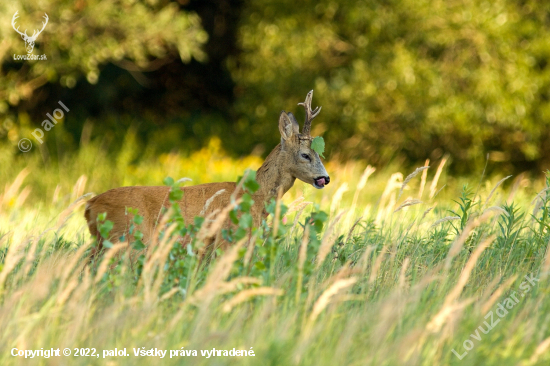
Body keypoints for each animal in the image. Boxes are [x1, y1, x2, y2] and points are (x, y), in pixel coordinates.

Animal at [84, 91, 330, 252]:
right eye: (305, 155)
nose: (325, 178)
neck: (255, 197)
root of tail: (90, 205)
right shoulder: (228, 238)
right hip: (126, 237)